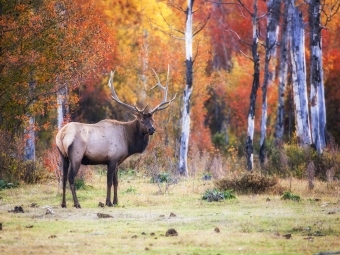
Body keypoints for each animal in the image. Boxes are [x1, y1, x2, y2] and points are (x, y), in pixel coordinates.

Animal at [55, 67, 175, 207]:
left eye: (152, 120)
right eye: (141, 121)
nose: (152, 129)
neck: (128, 142)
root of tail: (61, 135)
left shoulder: (117, 161)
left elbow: (116, 181)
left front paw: (116, 201)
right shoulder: (112, 159)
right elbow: (109, 182)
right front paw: (108, 202)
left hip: (63, 156)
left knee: (63, 178)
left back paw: (63, 203)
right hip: (76, 155)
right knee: (71, 177)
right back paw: (77, 204)